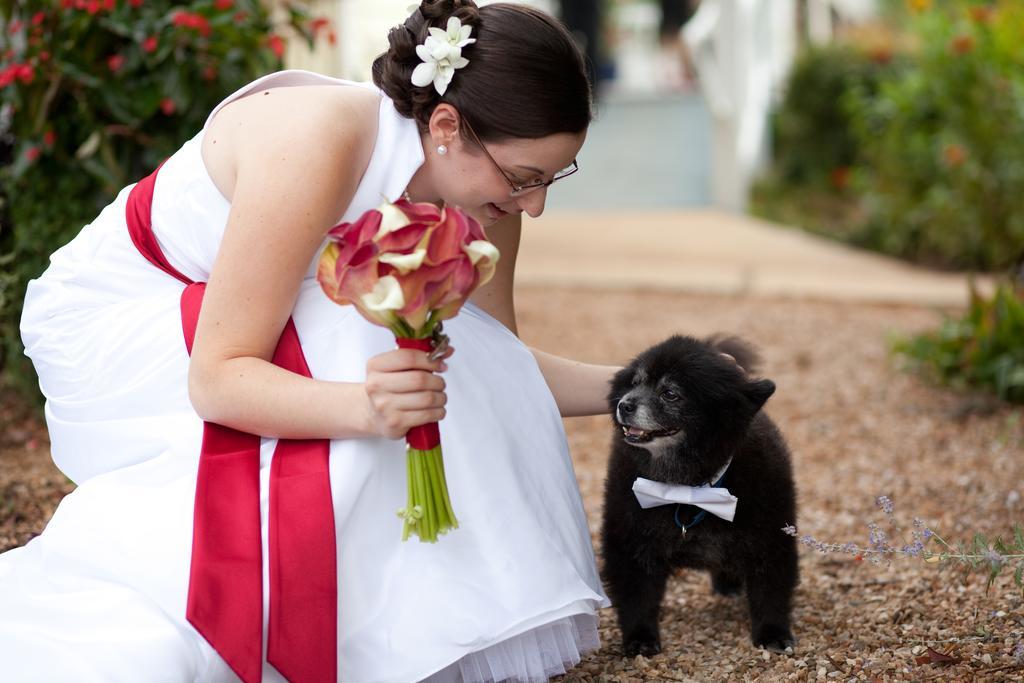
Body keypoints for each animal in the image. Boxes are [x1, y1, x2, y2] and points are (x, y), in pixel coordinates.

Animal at [598, 335, 798, 655]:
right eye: (635, 382)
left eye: (670, 393)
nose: (624, 404)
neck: (686, 487)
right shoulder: (630, 542)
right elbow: (637, 595)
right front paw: (640, 637)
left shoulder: (770, 537)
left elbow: (771, 591)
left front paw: (773, 633)